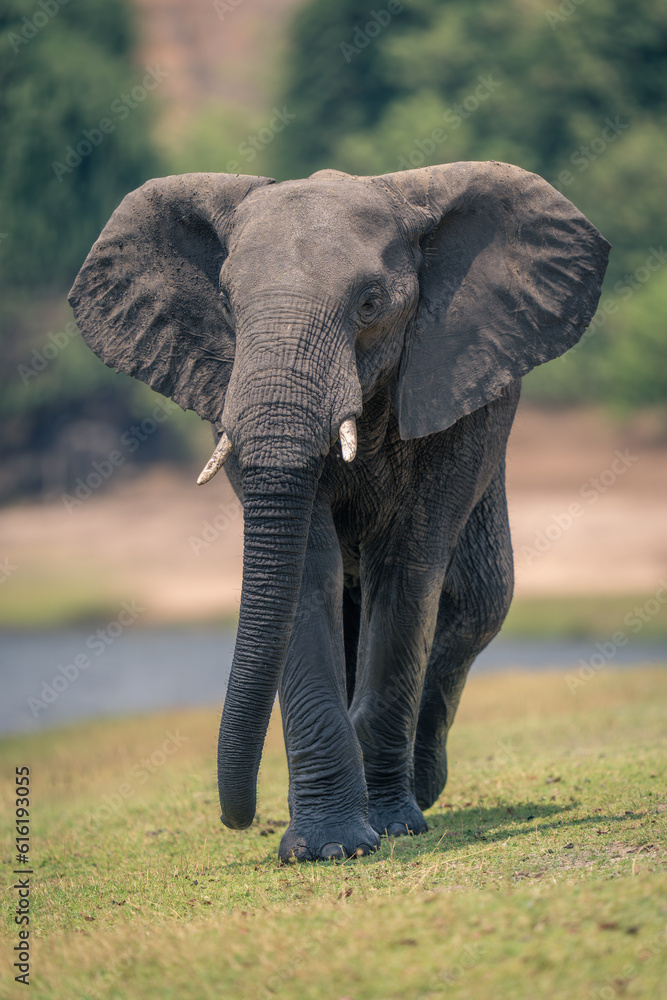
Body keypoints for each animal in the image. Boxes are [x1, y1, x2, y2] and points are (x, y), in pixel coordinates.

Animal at [68, 161, 609, 862]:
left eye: (371, 304)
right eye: (229, 305)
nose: (237, 817)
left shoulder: (458, 392)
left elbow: (409, 567)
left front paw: (392, 828)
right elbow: (306, 567)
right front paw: (326, 848)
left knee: (477, 601)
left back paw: (422, 787)